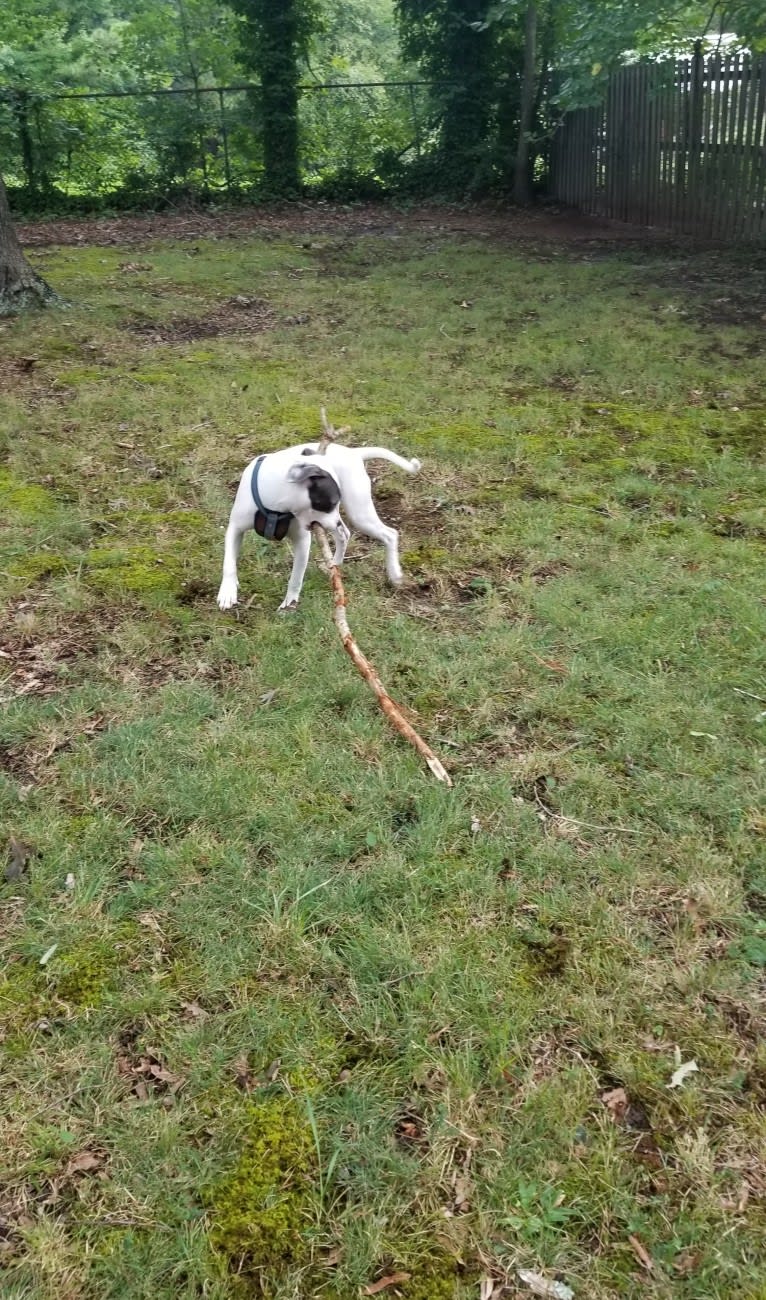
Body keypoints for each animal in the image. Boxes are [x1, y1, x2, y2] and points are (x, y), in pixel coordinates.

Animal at [217, 441, 418, 613]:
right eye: (331, 502)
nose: (337, 522)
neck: (276, 504)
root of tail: (353, 453)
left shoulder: (302, 541)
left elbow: (296, 578)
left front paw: (289, 604)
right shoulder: (235, 529)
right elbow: (229, 563)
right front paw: (228, 591)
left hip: (359, 514)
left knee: (389, 534)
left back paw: (395, 574)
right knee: (344, 535)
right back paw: (335, 564)